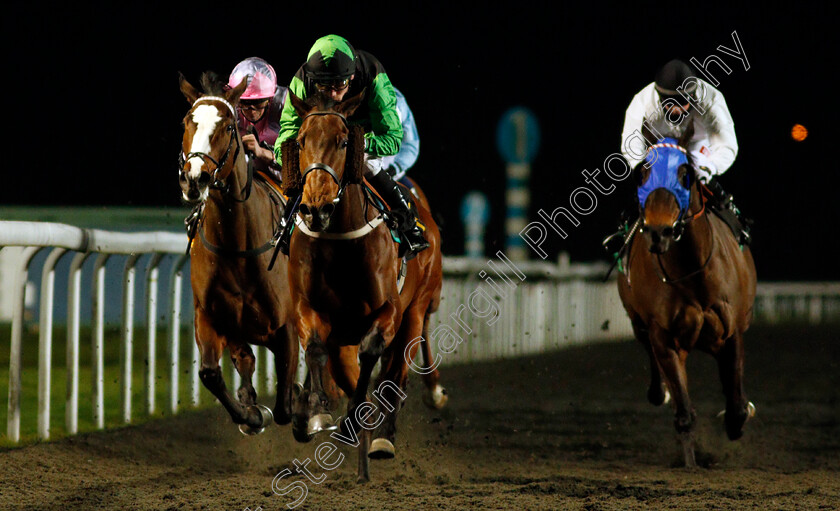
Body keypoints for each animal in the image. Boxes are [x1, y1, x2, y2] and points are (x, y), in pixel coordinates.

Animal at [177, 73, 298, 436]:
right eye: (187, 121)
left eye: (229, 127)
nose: (194, 178)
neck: (238, 246)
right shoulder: (210, 317)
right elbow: (210, 373)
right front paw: (252, 415)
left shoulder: (288, 326)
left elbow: (286, 405)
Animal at [280, 89, 446, 484]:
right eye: (300, 140)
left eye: (344, 142)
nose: (316, 208)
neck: (339, 240)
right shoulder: (310, 310)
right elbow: (315, 350)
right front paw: (316, 412)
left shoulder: (389, 311)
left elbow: (373, 354)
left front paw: (354, 422)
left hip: (416, 309)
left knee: (396, 374)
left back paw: (382, 439)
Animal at [616, 121, 760, 468]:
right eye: (643, 172)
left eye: (684, 173)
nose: (659, 231)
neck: (693, 273)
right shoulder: (664, 336)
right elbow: (684, 413)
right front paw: (691, 461)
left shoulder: (731, 331)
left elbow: (736, 405)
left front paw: (739, 417)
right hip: (640, 325)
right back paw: (662, 392)